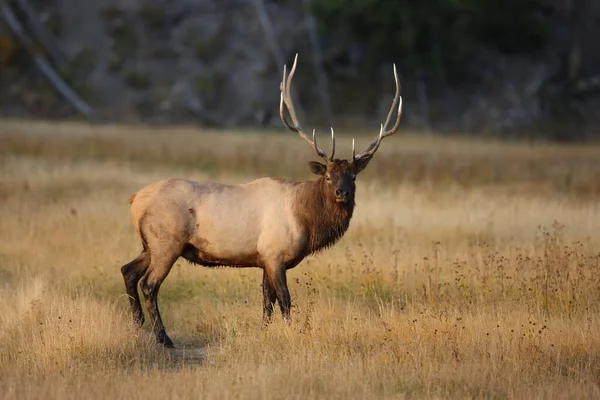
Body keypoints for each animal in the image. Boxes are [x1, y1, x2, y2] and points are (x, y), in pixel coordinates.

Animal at [120, 54, 404, 346]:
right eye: (328, 176)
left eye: (353, 177)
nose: (342, 193)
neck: (306, 219)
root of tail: (135, 200)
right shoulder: (275, 254)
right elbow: (285, 300)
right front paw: (292, 334)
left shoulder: (264, 259)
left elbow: (267, 302)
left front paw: (263, 333)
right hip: (167, 242)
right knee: (149, 284)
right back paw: (163, 338)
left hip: (150, 244)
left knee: (128, 270)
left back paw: (137, 325)